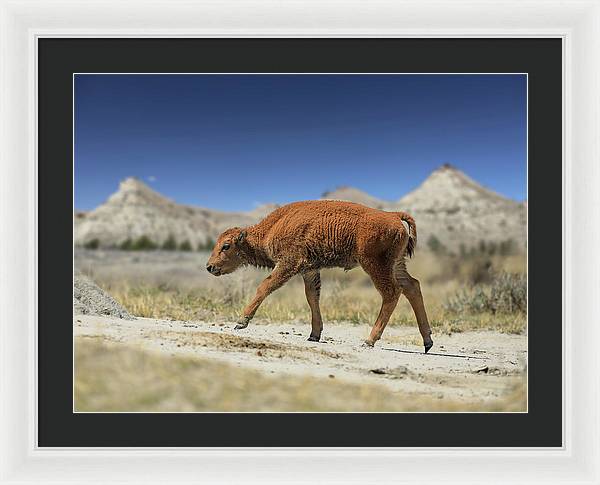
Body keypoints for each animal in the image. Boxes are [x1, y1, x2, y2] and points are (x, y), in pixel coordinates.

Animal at [206, 199, 432, 352]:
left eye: (226, 246)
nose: (209, 267)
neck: (271, 228)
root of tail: (393, 215)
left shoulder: (289, 264)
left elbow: (265, 286)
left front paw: (241, 321)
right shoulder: (310, 270)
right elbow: (312, 298)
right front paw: (314, 335)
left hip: (375, 265)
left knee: (392, 292)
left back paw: (369, 340)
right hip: (397, 265)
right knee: (412, 286)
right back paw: (427, 341)